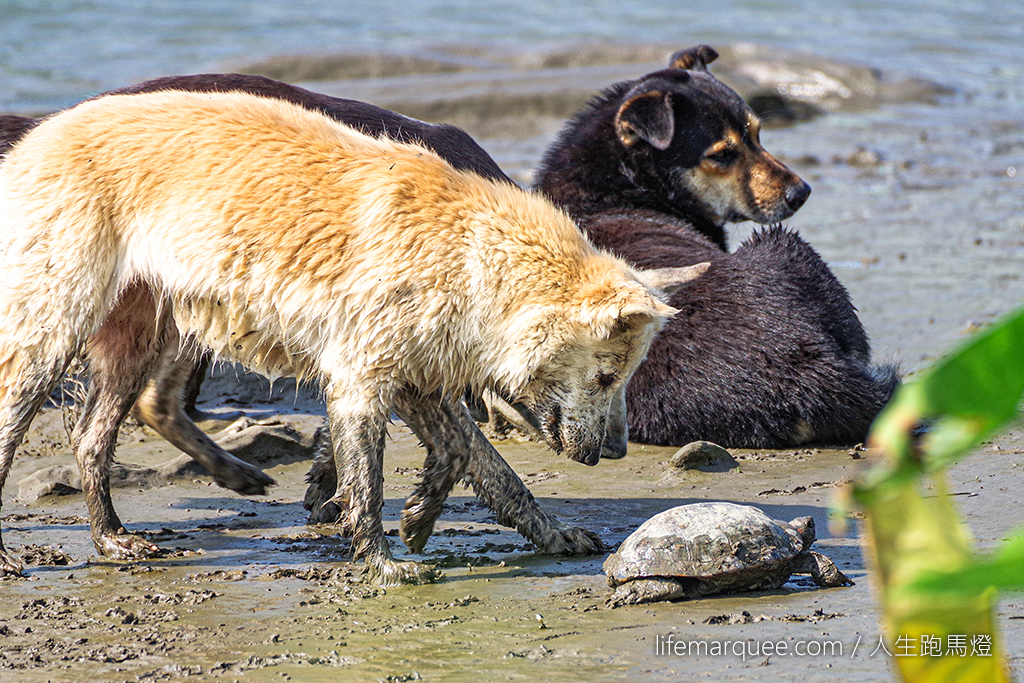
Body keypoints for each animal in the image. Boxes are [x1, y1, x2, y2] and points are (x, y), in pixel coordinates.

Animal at [0, 89, 704, 581]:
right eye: (607, 376)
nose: (612, 454)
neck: (469, 253)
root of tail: (33, 138)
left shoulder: (419, 374)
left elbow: (476, 461)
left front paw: (460, 524)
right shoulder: (361, 380)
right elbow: (369, 479)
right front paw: (382, 560)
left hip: (148, 330)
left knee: (92, 437)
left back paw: (112, 539)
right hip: (53, 329)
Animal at [532, 45, 901, 446]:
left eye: (757, 134)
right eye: (722, 155)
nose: (801, 193)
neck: (620, 187)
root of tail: (809, 369)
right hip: (788, 242)